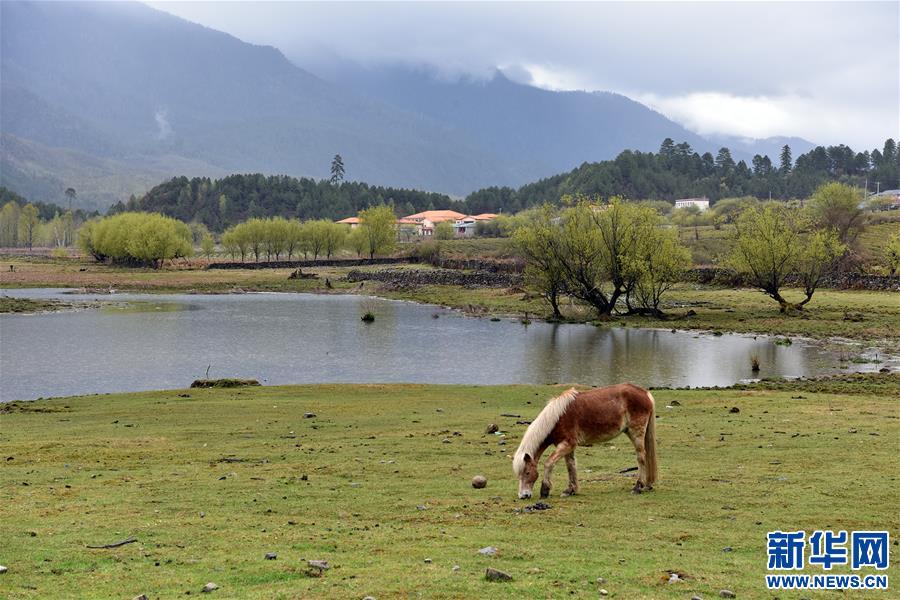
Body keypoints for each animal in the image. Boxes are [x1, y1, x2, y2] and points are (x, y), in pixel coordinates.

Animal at [510, 384, 656, 496]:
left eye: (527, 472)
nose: (523, 496)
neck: (557, 417)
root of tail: (644, 393)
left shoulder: (567, 445)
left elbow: (549, 463)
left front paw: (545, 490)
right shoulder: (567, 447)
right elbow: (571, 466)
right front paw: (570, 490)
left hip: (636, 433)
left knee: (641, 457)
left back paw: (638, 487)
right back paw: (647, 485)